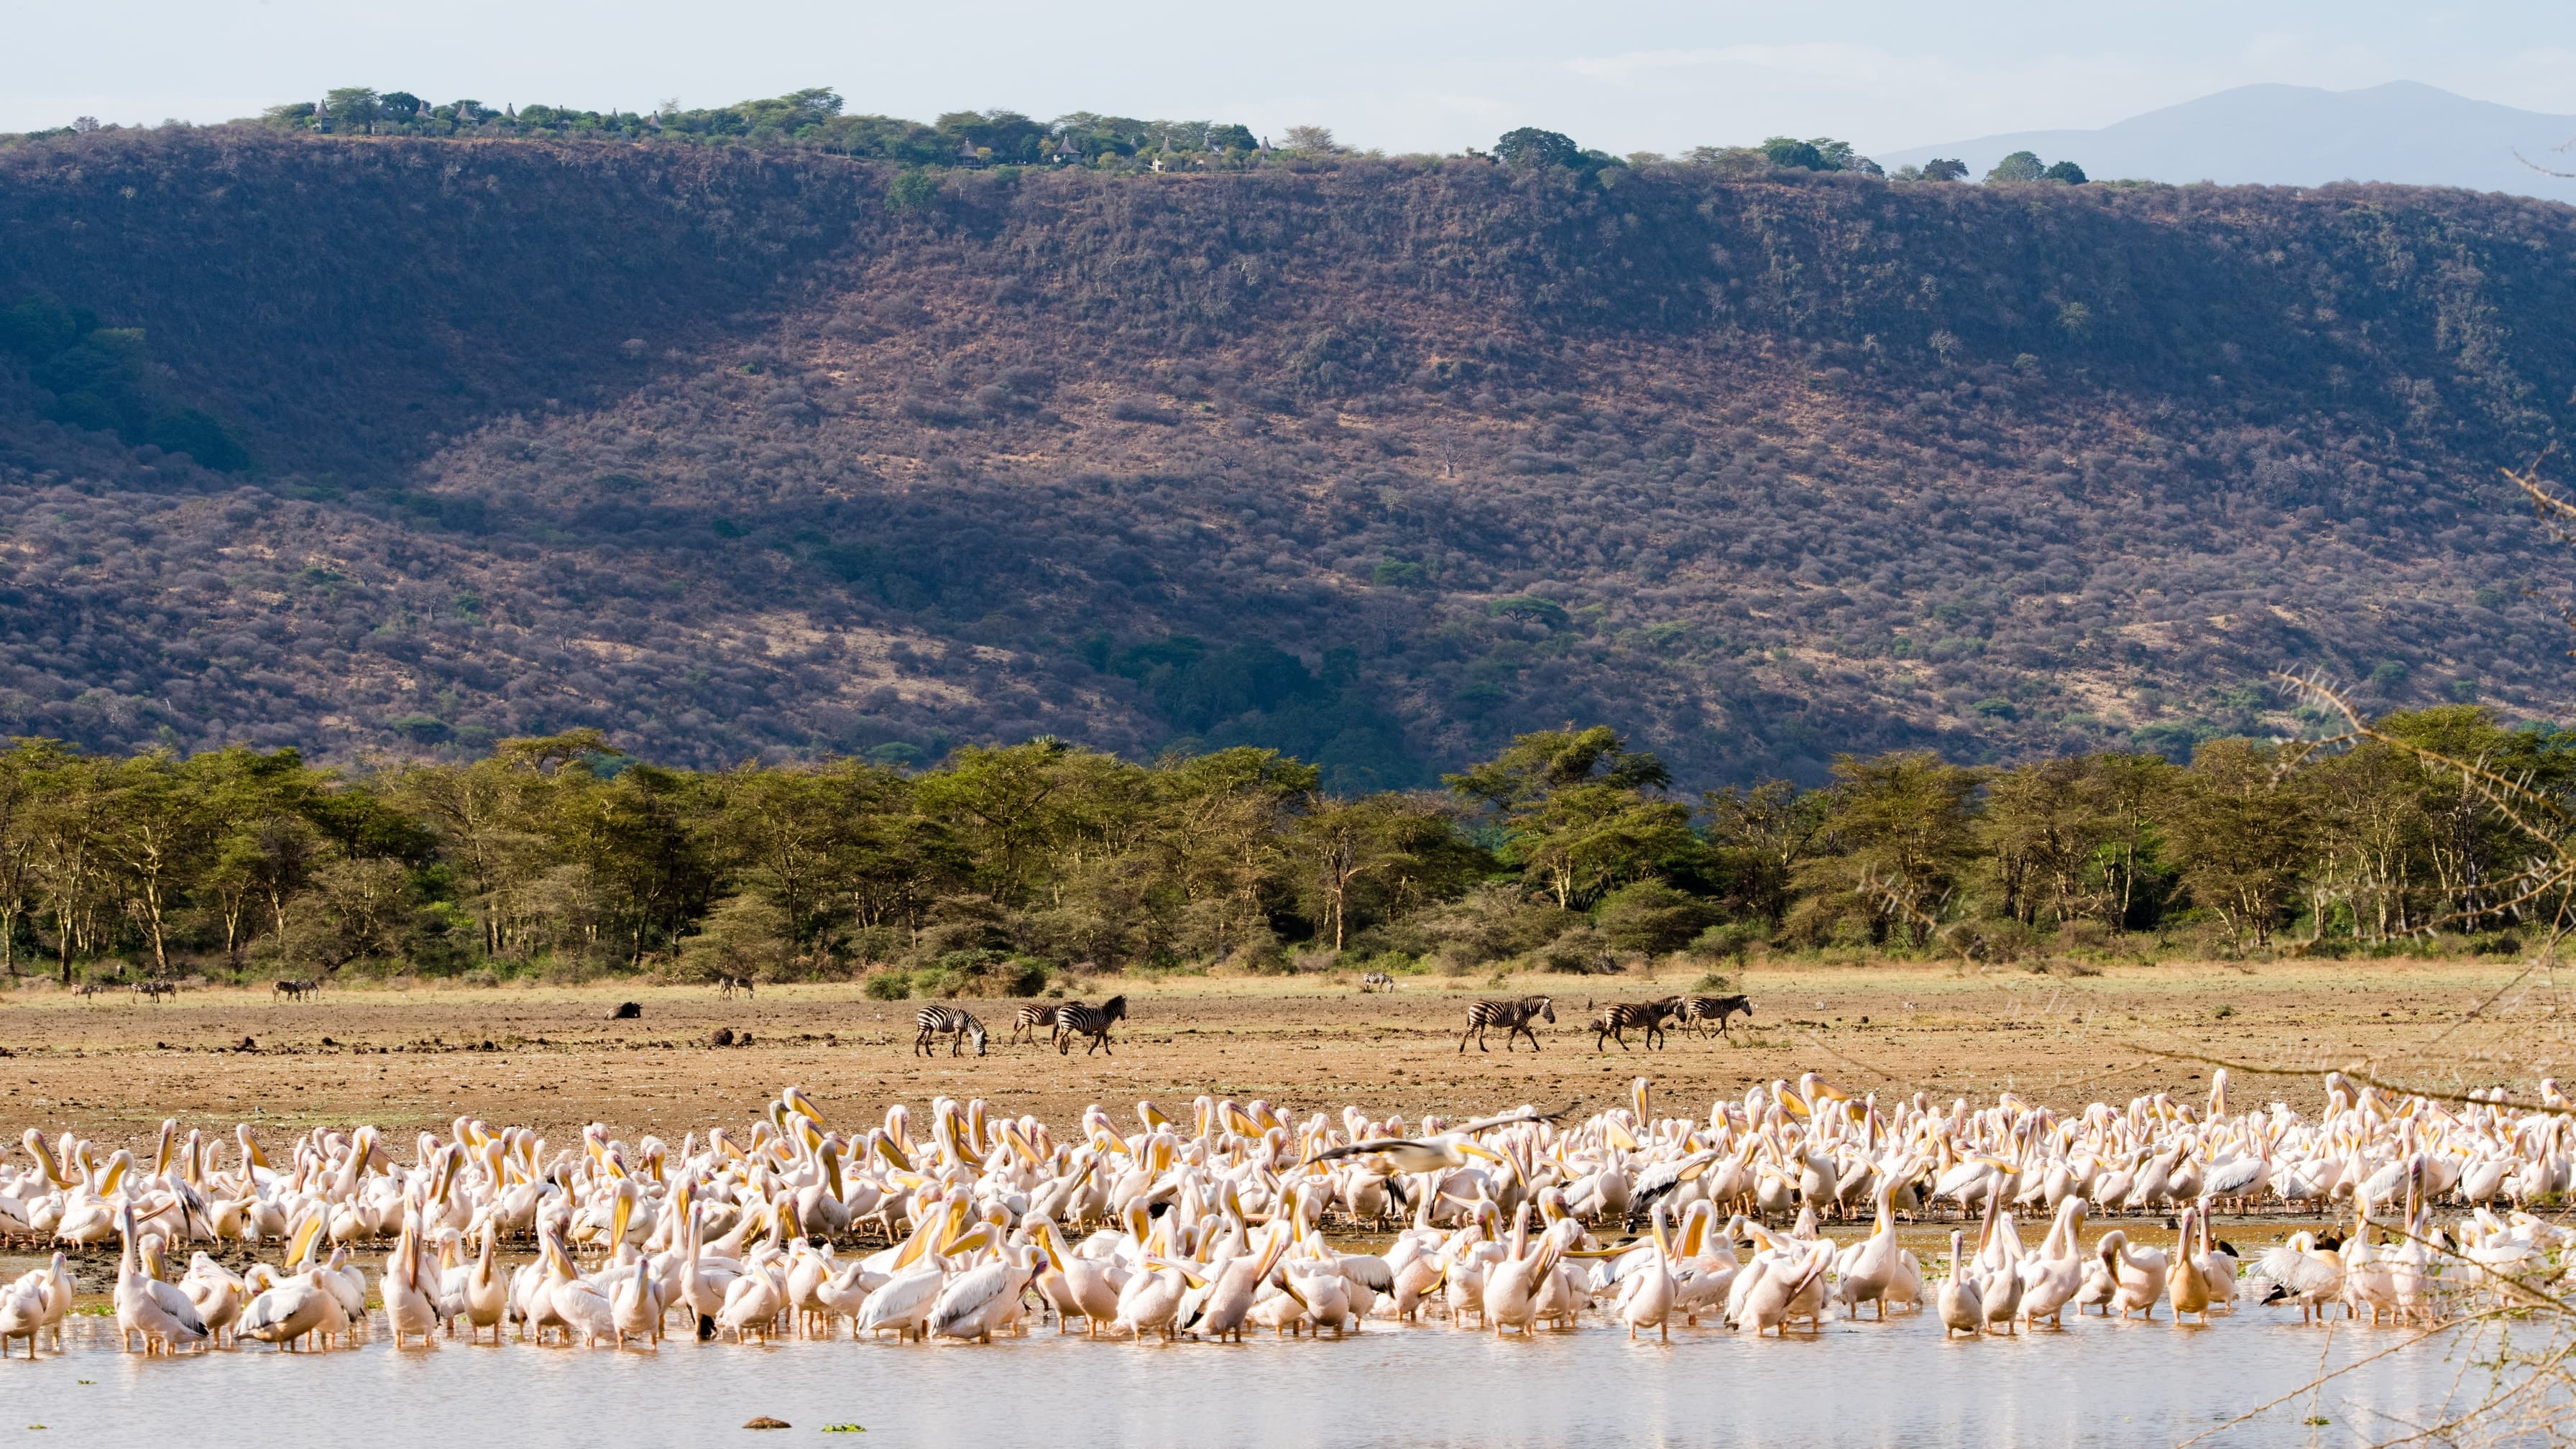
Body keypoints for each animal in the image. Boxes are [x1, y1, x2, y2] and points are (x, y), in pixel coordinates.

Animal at [1458, 995, 1555, 1053]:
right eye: (1549, 1009)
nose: (1553, 1020)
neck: (1526, 1009)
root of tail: (1472, 1005)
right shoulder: (1516, 1023)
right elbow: (1512, 1035)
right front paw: (1509, 1048)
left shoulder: (1522, 1024)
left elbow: (1530, 1034)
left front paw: (1537, 1047)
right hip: (1476, 1021)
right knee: (1466, 1032)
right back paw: (1461, 1048)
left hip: (1482, 1023)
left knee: (1479, 1035)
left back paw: (1483, 1049)